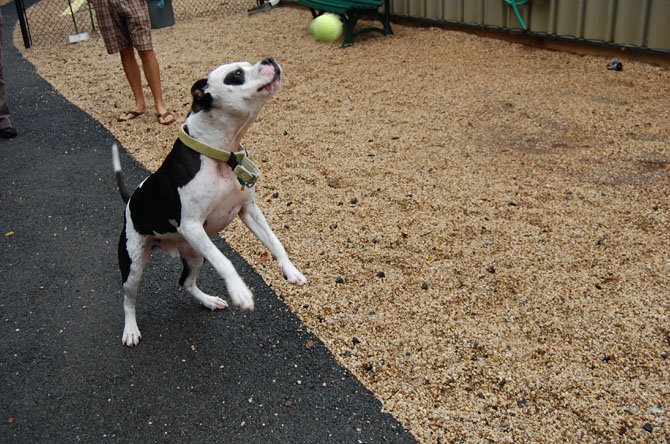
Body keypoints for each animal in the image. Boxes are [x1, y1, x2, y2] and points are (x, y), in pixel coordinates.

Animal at [112, 57, 308, 346]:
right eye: (236, 74)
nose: (269, 60)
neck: (219, 153)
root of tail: (130, 201)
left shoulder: (248, 210)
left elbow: (275, 242)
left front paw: (291, 271)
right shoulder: (192, 226)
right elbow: (225, 261)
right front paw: (240, 292)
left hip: (195, 255)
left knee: (185, 282)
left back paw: (209, 301)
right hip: (134, 264)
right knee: (128, 298)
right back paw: (130, 329)